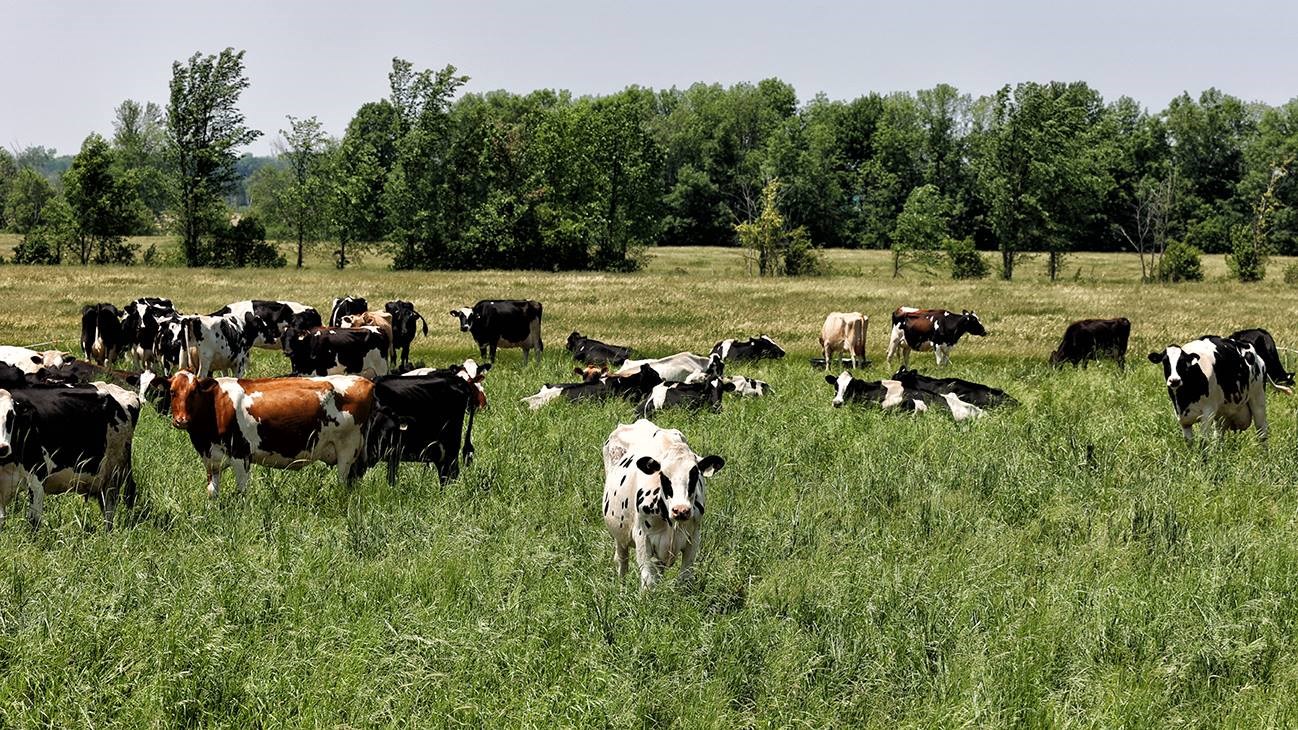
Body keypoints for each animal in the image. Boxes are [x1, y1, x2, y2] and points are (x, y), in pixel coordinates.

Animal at [0, 375, 140, 529]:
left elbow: (34, 521)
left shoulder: (37, 476)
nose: (2, 447)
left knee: (111, 505)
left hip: (115, 470)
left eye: (11, 417)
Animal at [167, 371, 373, 497]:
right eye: (172, 392)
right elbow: (212, 492)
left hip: (347, 449)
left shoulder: (240, 454)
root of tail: (363, 380)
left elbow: (242, 491)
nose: (181, 420)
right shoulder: (211, 459)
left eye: (194, 392)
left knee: (342, 483)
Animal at [602, 419, 724, 589]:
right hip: (619, 533)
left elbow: (685, 578)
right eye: (664, 475)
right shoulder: (642, 537)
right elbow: (648, 580)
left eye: (694, 474)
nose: (681, 510)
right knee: (622, 562)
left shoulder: (693, 537)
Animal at [1148, 338, 1276, 444]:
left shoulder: (1207, 413)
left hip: (1258, 400)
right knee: (1219, 437)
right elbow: (1189, 443)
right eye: (1165, 361)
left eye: (1183, 362)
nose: (1174, 380)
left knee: (1262, 433)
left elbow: (1203, 443)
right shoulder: (1183, 420)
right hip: (1223, 414)